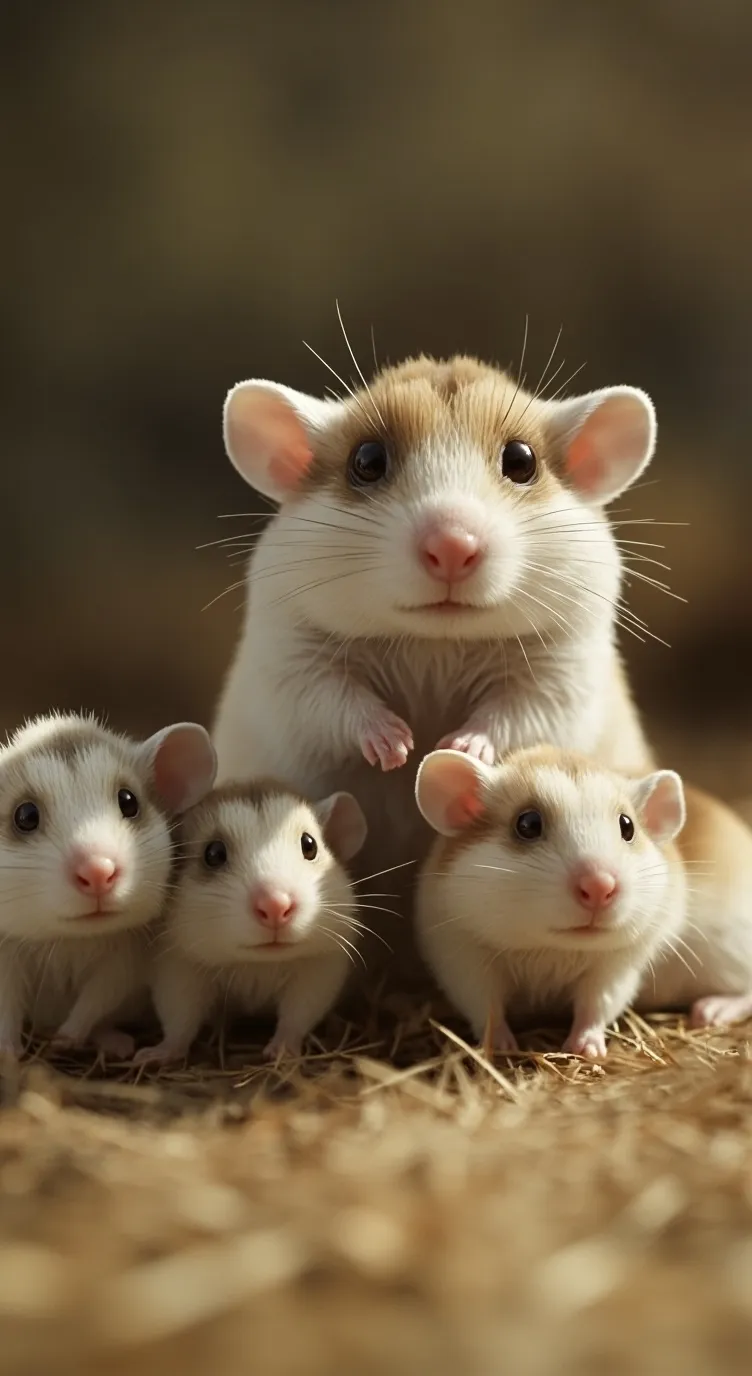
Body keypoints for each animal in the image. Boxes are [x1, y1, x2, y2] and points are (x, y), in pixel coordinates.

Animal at [0, 712, 217, 1059]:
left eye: (128, 801)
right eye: (26, 815)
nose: (98, 872)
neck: (70, 940)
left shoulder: (126, 954)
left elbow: (101, 995)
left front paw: (69, 1035)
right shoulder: (6, 952)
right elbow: (6, 1003)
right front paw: (7, 1051)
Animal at [134, 780, 368, 1064]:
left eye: (309, 845)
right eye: (214, 853)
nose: (276, 906)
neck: (258, 964)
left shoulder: (319, 969)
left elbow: (298, 1015)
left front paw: (282, 1051)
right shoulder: (178, 969)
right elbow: (179, 1019)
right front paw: (156, 1053)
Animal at [212, 356, 659, 962]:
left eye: (521, 461)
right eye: (367, 460)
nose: (452, 548)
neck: (436, 640)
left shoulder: (561, 665)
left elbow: (520, 710)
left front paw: (459, 745)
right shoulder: (292, 656)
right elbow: (332, 701)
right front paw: (395, 744)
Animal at [414, 746, 687, 1058]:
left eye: (627, 826)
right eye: (528, 824)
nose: (599, 887)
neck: (551, 948)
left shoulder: (614, 968)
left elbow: (595, 1007)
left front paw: (587, 1050)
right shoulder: (465, 960)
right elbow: (487, 1009)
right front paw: (500, 1048)